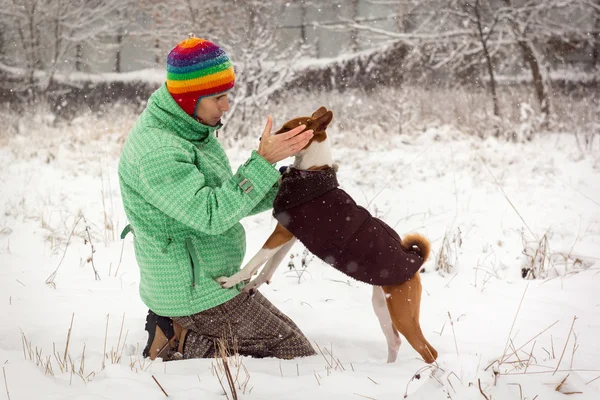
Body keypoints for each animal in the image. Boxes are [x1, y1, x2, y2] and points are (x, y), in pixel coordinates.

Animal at [218, 108, 438, 364]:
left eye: (288, 128)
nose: (262, 139)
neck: (311, 172)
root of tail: (416, 260)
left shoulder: (282, 232)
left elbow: (255, 261)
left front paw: (231, 280)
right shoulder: (289, 234)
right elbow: (268, 268)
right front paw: (250, 286)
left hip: (403, 312)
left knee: (428, 351)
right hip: (383, 305)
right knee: (395, 341)